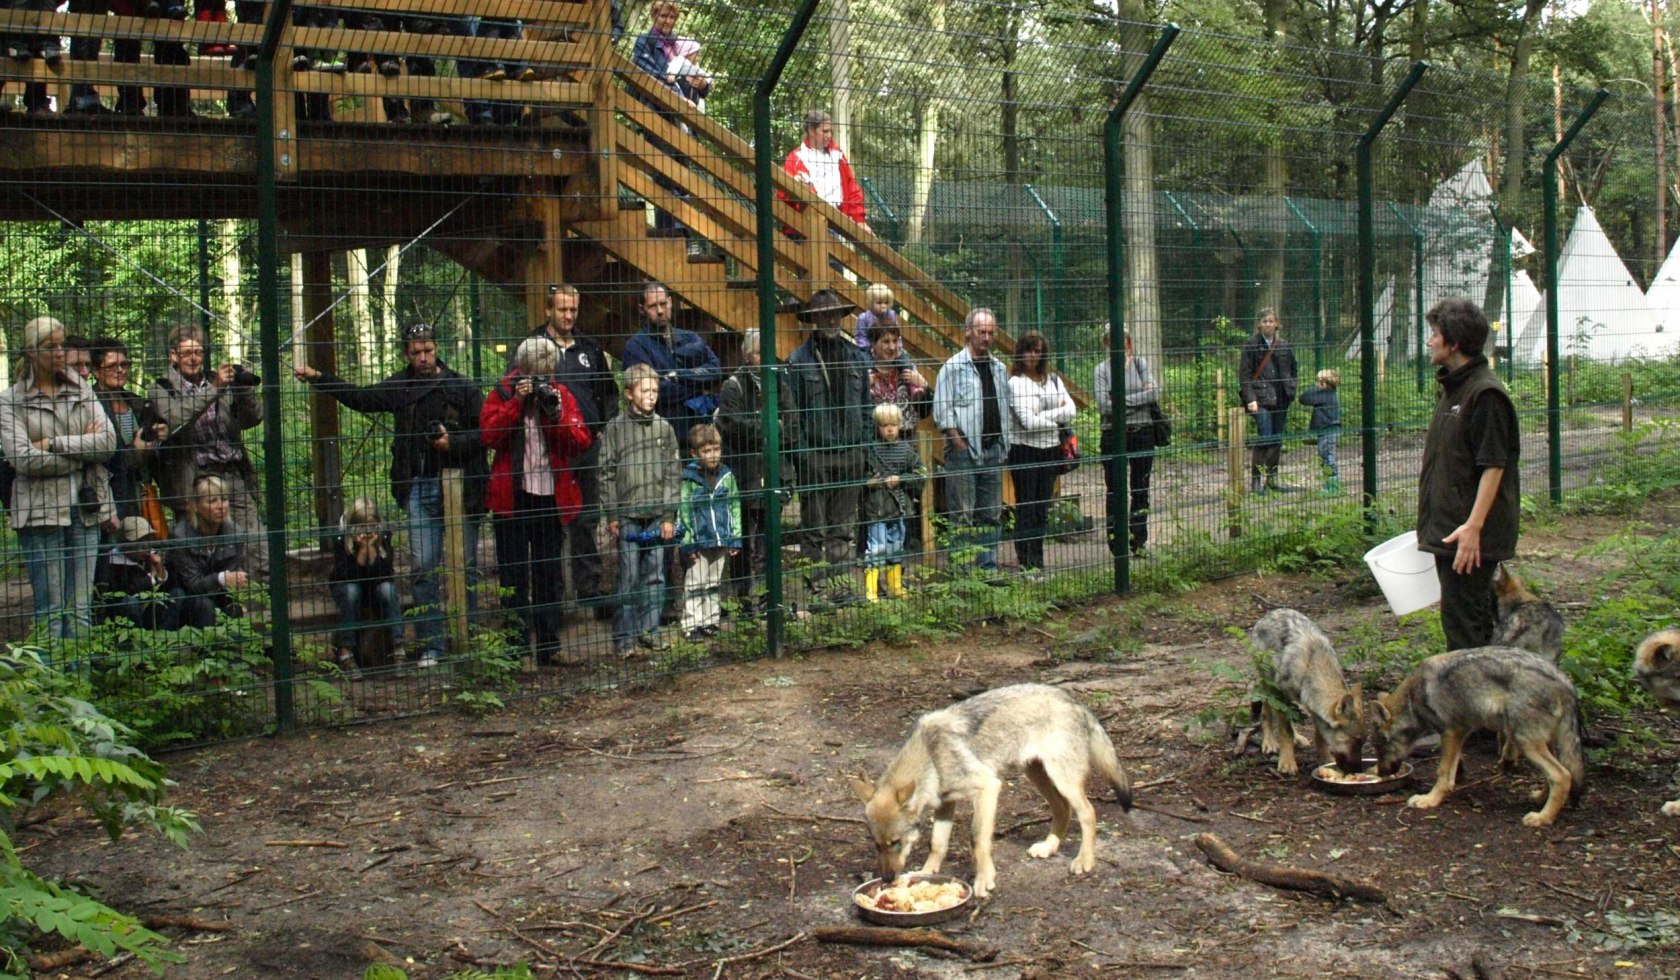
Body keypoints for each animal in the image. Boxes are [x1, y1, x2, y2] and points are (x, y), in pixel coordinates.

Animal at [846, 685, 1135, 900]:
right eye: (876, 844)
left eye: (896, 842)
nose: (887, 879)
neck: (931, 756)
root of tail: (1074, 700)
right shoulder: (945, 803)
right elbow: (937, 844)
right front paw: (927, 875)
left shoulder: (987, 787)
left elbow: (977, 840)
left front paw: (984, 880)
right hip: (1037, 775)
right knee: (1062, 809)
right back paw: (1049, 847)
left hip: (1062, 780)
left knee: (1088, 813)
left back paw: (1084, 860)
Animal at [1249, 608, 1364, 779]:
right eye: (1356, 740)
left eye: (1363, 741)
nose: (1358, 771)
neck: (1312, 665)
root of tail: (1270, 613)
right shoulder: (1281, 696)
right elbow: (1285, 731)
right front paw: (1287, 763)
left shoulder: (1312, 704)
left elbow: (1320, 736)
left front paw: (1325, 759)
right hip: (1269, 686)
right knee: (1266, 711)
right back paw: (1269, 742)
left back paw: (1298, 738)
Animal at [1370, 652, 1579, 827]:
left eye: (1379, 748)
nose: (1381, 774)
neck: (1412, 699)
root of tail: (1566, 683)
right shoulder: (1460, 733)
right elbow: (1450, 773)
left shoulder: (1450, 733)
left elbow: (1442, 772)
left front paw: (1429, 800)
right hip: (1543, 743)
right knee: (1555, 775)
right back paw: (1540, 799)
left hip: (1524, 742)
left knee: (1562, 775)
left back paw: (1542, 818)